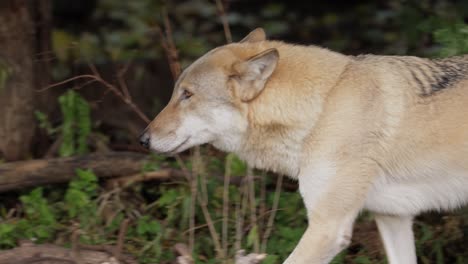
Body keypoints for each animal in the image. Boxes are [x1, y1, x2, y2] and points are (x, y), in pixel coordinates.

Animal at [139, 27, 468, 262]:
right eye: (177, 93)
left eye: (187, 95)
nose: (143, 140)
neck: (324, 105)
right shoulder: (393, 219)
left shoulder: (327, 229)